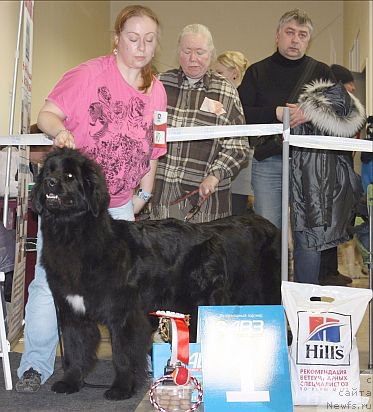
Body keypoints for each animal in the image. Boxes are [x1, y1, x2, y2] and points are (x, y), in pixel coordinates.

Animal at [32, 147, 280, 400]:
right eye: (49, 172)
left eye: (70, 176)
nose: (50, 182)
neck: (72, 234)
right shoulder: (71, 309)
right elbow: (74, 349)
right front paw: (70, 382)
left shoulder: (124, 314)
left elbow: (122, 354)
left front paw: (121, 388)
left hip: (241, 296)